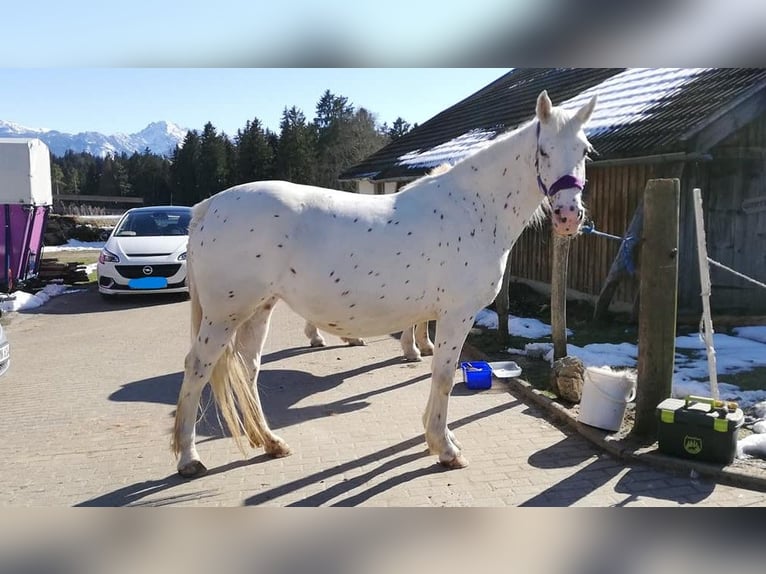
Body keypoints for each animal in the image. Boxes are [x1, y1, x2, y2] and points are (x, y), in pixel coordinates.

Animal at [174, 89, 600, 476]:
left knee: (248, 370)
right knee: (197, 367)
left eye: (584, 151)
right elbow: (444, 377)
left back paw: (270, 442)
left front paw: (437, 439)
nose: (568, 216)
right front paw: (445, 448)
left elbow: (438, 372)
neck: (472, 208)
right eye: (543, 150)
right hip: (223, 315)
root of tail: (209, 206)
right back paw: (188, 458)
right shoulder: (457, 314)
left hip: (257, 310)